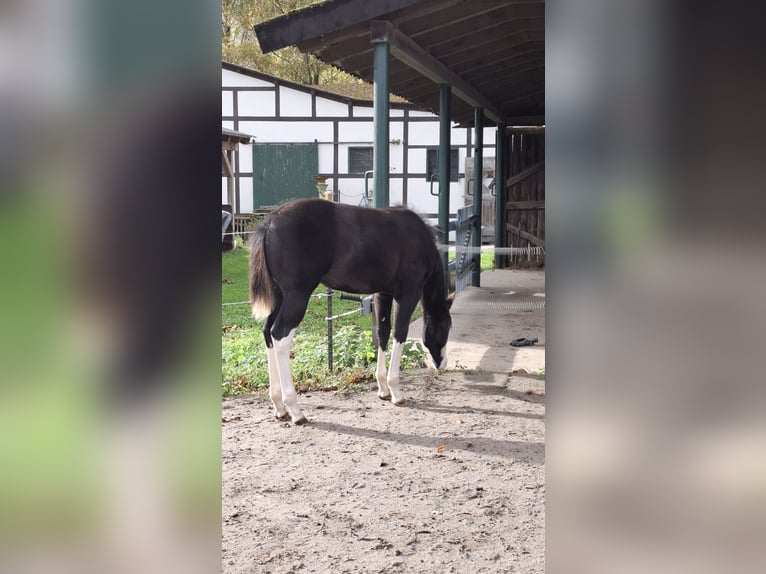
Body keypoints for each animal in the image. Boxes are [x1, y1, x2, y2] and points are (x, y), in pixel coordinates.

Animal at [249, 198, 453, 425]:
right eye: (447, 326)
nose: (442, 362)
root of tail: (269, 223)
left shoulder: (383, 294)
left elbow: (382, 333)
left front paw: (383, 389)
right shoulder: (407, 294)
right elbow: (399, 334)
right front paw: (396, 392)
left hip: (279, 296)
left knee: (267, 332)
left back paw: (279, 406)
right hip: (297, 296)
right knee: (279, 335)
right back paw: (294, 409)